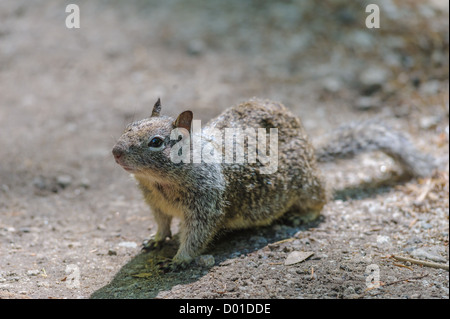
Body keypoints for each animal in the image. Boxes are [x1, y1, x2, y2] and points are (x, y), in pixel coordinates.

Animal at [112, 99, 436, 268]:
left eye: (156, 142)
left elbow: (196, 236)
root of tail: (310, 147)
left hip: (306, 185)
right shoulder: (155, 204)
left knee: (323, 196)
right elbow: (163, 223)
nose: (115, 152)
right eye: (129, 127)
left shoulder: (206, 204)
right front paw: (156, 239)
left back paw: (304, 215)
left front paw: (179, 259)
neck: (159, 183)